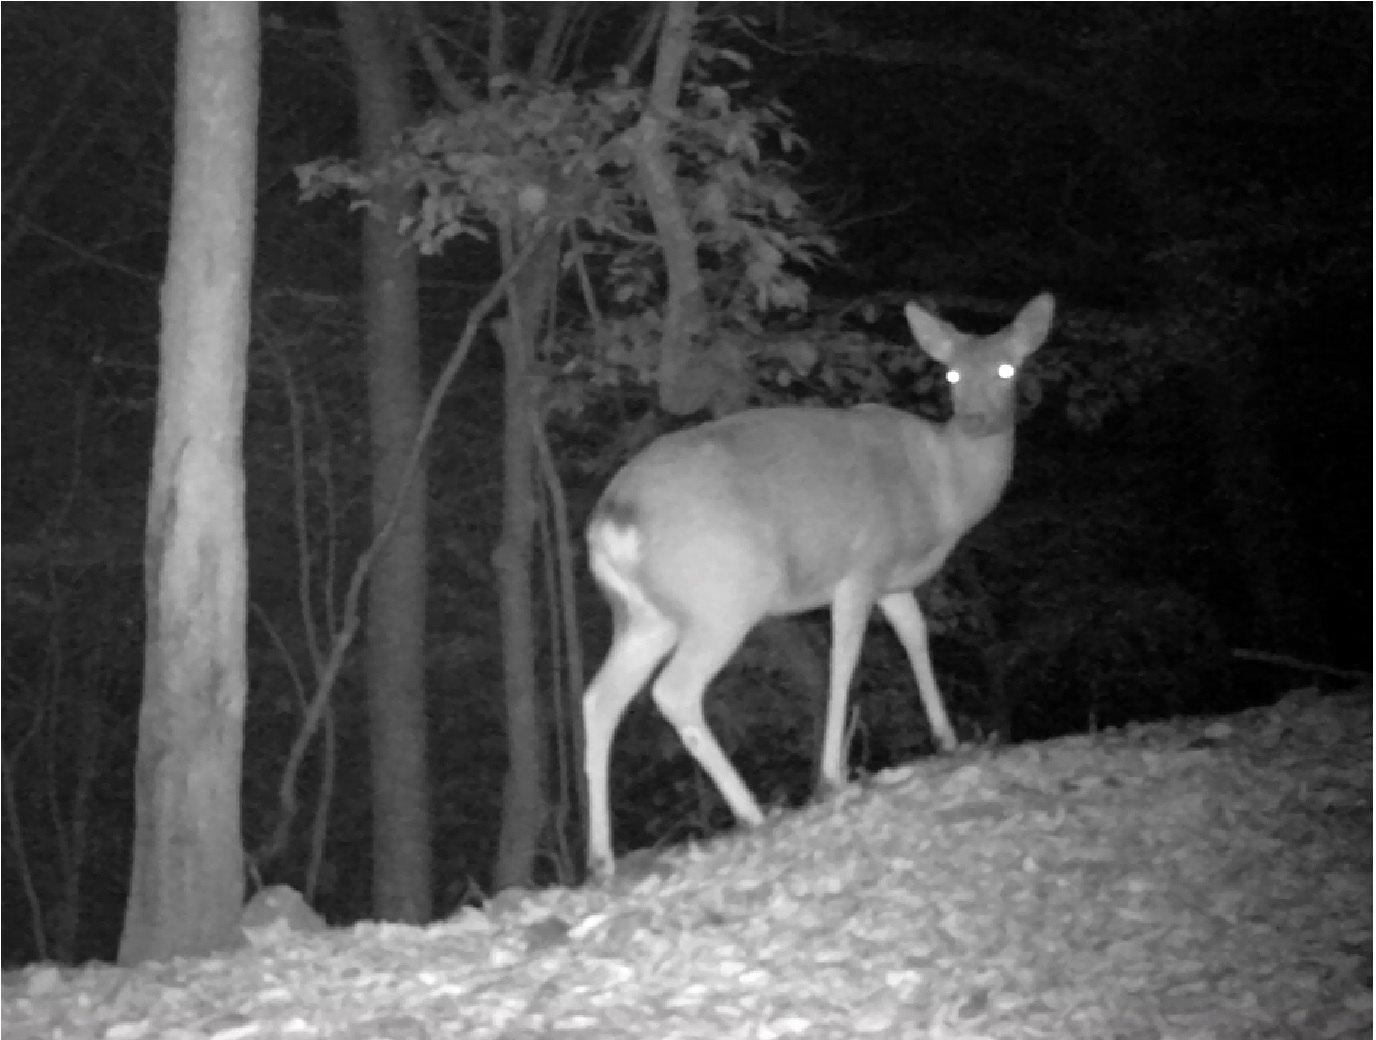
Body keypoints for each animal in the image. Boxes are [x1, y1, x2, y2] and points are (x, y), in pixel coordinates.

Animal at [577, 293, 1051, 874]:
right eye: (952, 372)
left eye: (1008, 368)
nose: (976, 418)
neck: (944, 491)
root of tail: (613, 519)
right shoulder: (863, 565)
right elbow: (844, 658)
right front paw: (831, 775)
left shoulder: (893, 579)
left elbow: (916, 636)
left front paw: (947, 738)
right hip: (724, 596)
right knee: (674, 691)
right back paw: (751, 811)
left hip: (644, 615)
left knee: (599, 699)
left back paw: (601, 857)